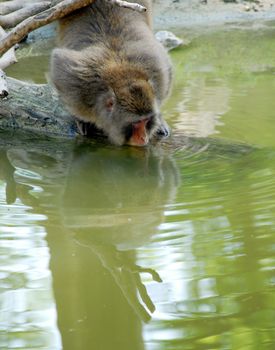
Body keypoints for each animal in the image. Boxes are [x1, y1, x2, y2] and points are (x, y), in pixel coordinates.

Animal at [51, 0, 172, 146]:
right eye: (136, 123)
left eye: (146, 121)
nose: (143, 138)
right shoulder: (76, 84)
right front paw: (82, 121)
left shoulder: (159, 72)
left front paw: (160, 121)